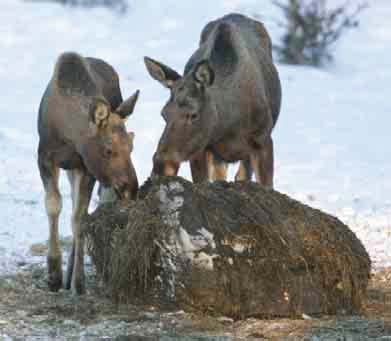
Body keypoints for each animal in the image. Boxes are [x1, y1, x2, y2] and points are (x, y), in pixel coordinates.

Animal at [38, 51, 139, 294]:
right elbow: (53, 205)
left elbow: (80, 218)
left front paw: (78, 281)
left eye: (131, 146)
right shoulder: (44, 158)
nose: (131, 188)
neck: (69, 136)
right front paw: (53, 274)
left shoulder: (87, 168)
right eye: (108, 149)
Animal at [145, 13, 280, 186]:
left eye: (193, 114)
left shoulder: (263, 140)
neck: (228, 124)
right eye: (164, 114)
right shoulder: (202, 149)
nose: (161, 166)